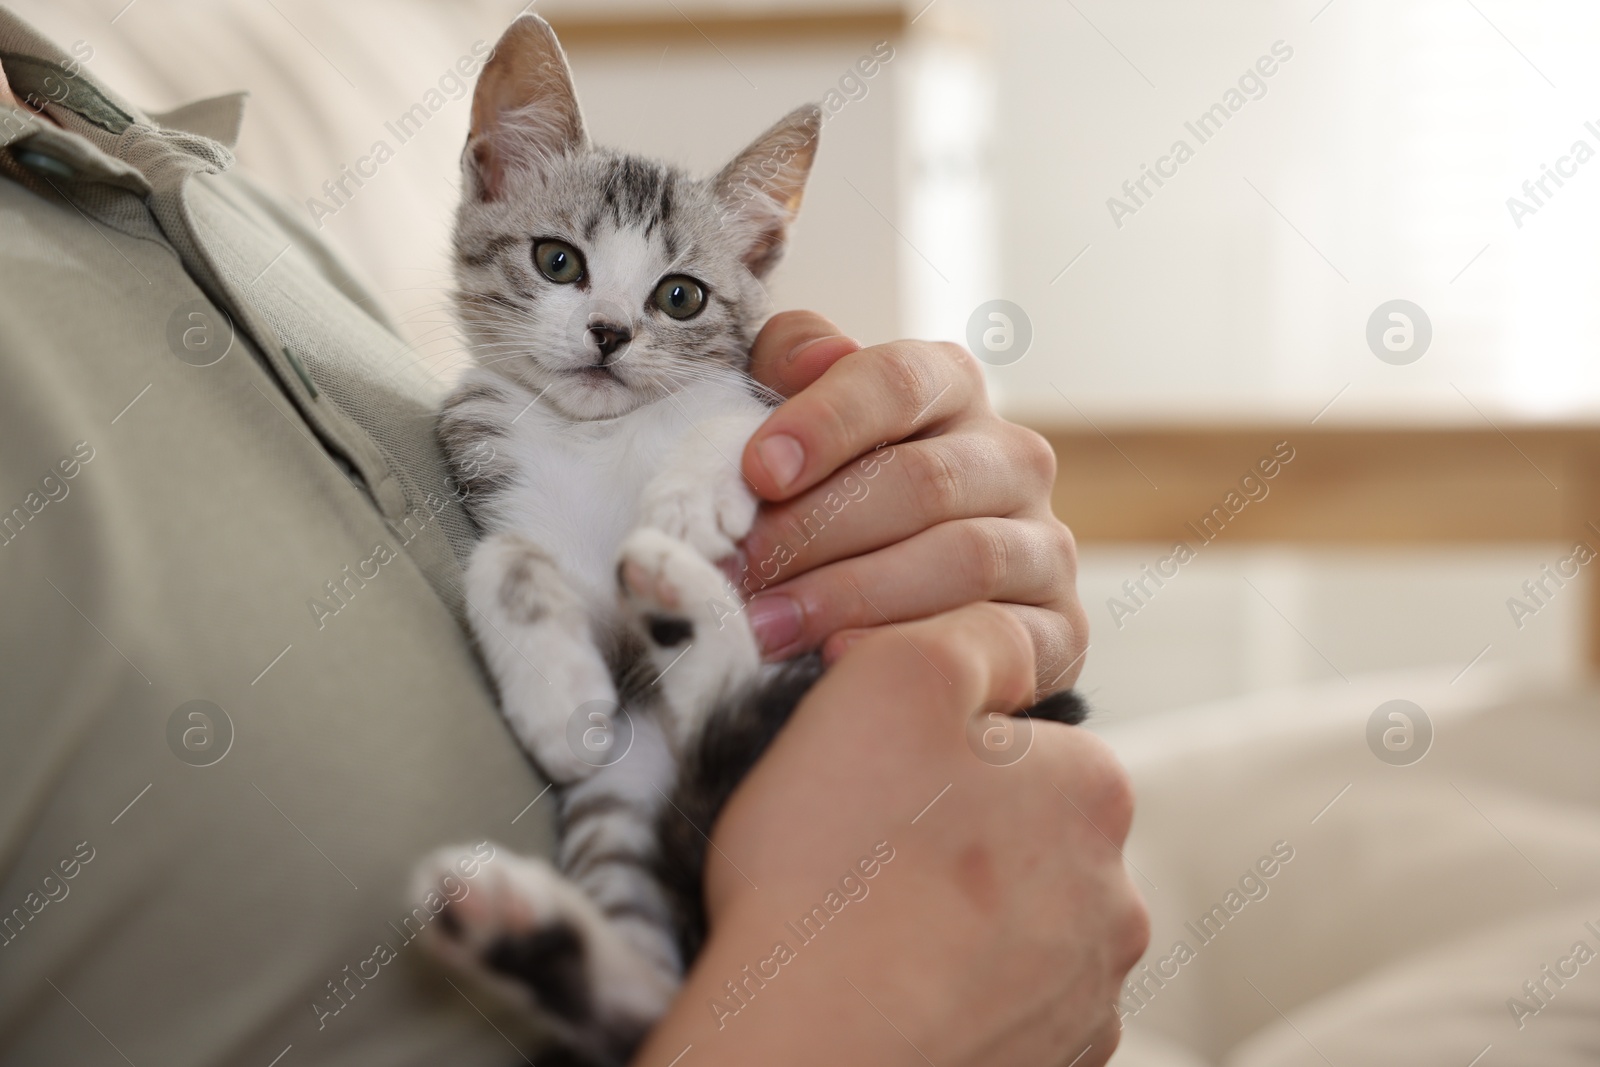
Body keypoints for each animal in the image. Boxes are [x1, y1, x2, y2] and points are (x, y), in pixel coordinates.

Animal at [412, 16, 1088, 1067]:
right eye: (558, 261)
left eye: (681, 297)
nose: (609, 332)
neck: (601, 439)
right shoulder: (497, 471)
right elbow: (504, 556)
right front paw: (556, 689)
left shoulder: (764, 399)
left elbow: (740, 422)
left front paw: (689, 497)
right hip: (630, 777)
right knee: (656, 997)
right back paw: (509, 915)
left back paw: (674, 587)